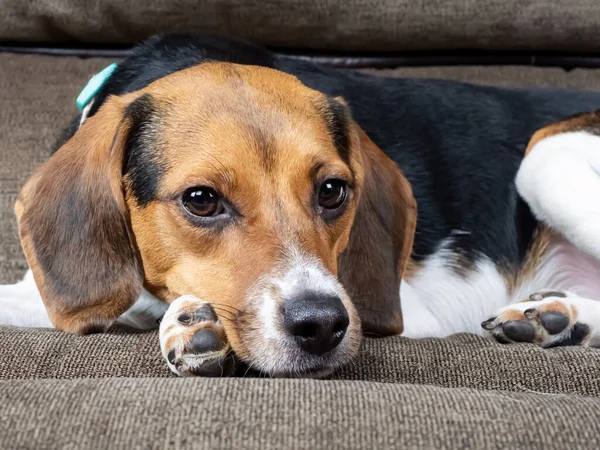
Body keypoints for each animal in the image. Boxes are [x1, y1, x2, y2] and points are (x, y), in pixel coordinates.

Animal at [3, 32, 600, 376]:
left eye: (332, 191)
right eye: (201, 200)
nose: (322, 326)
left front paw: (187, 322)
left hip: (546, 156)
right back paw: (555, 318)